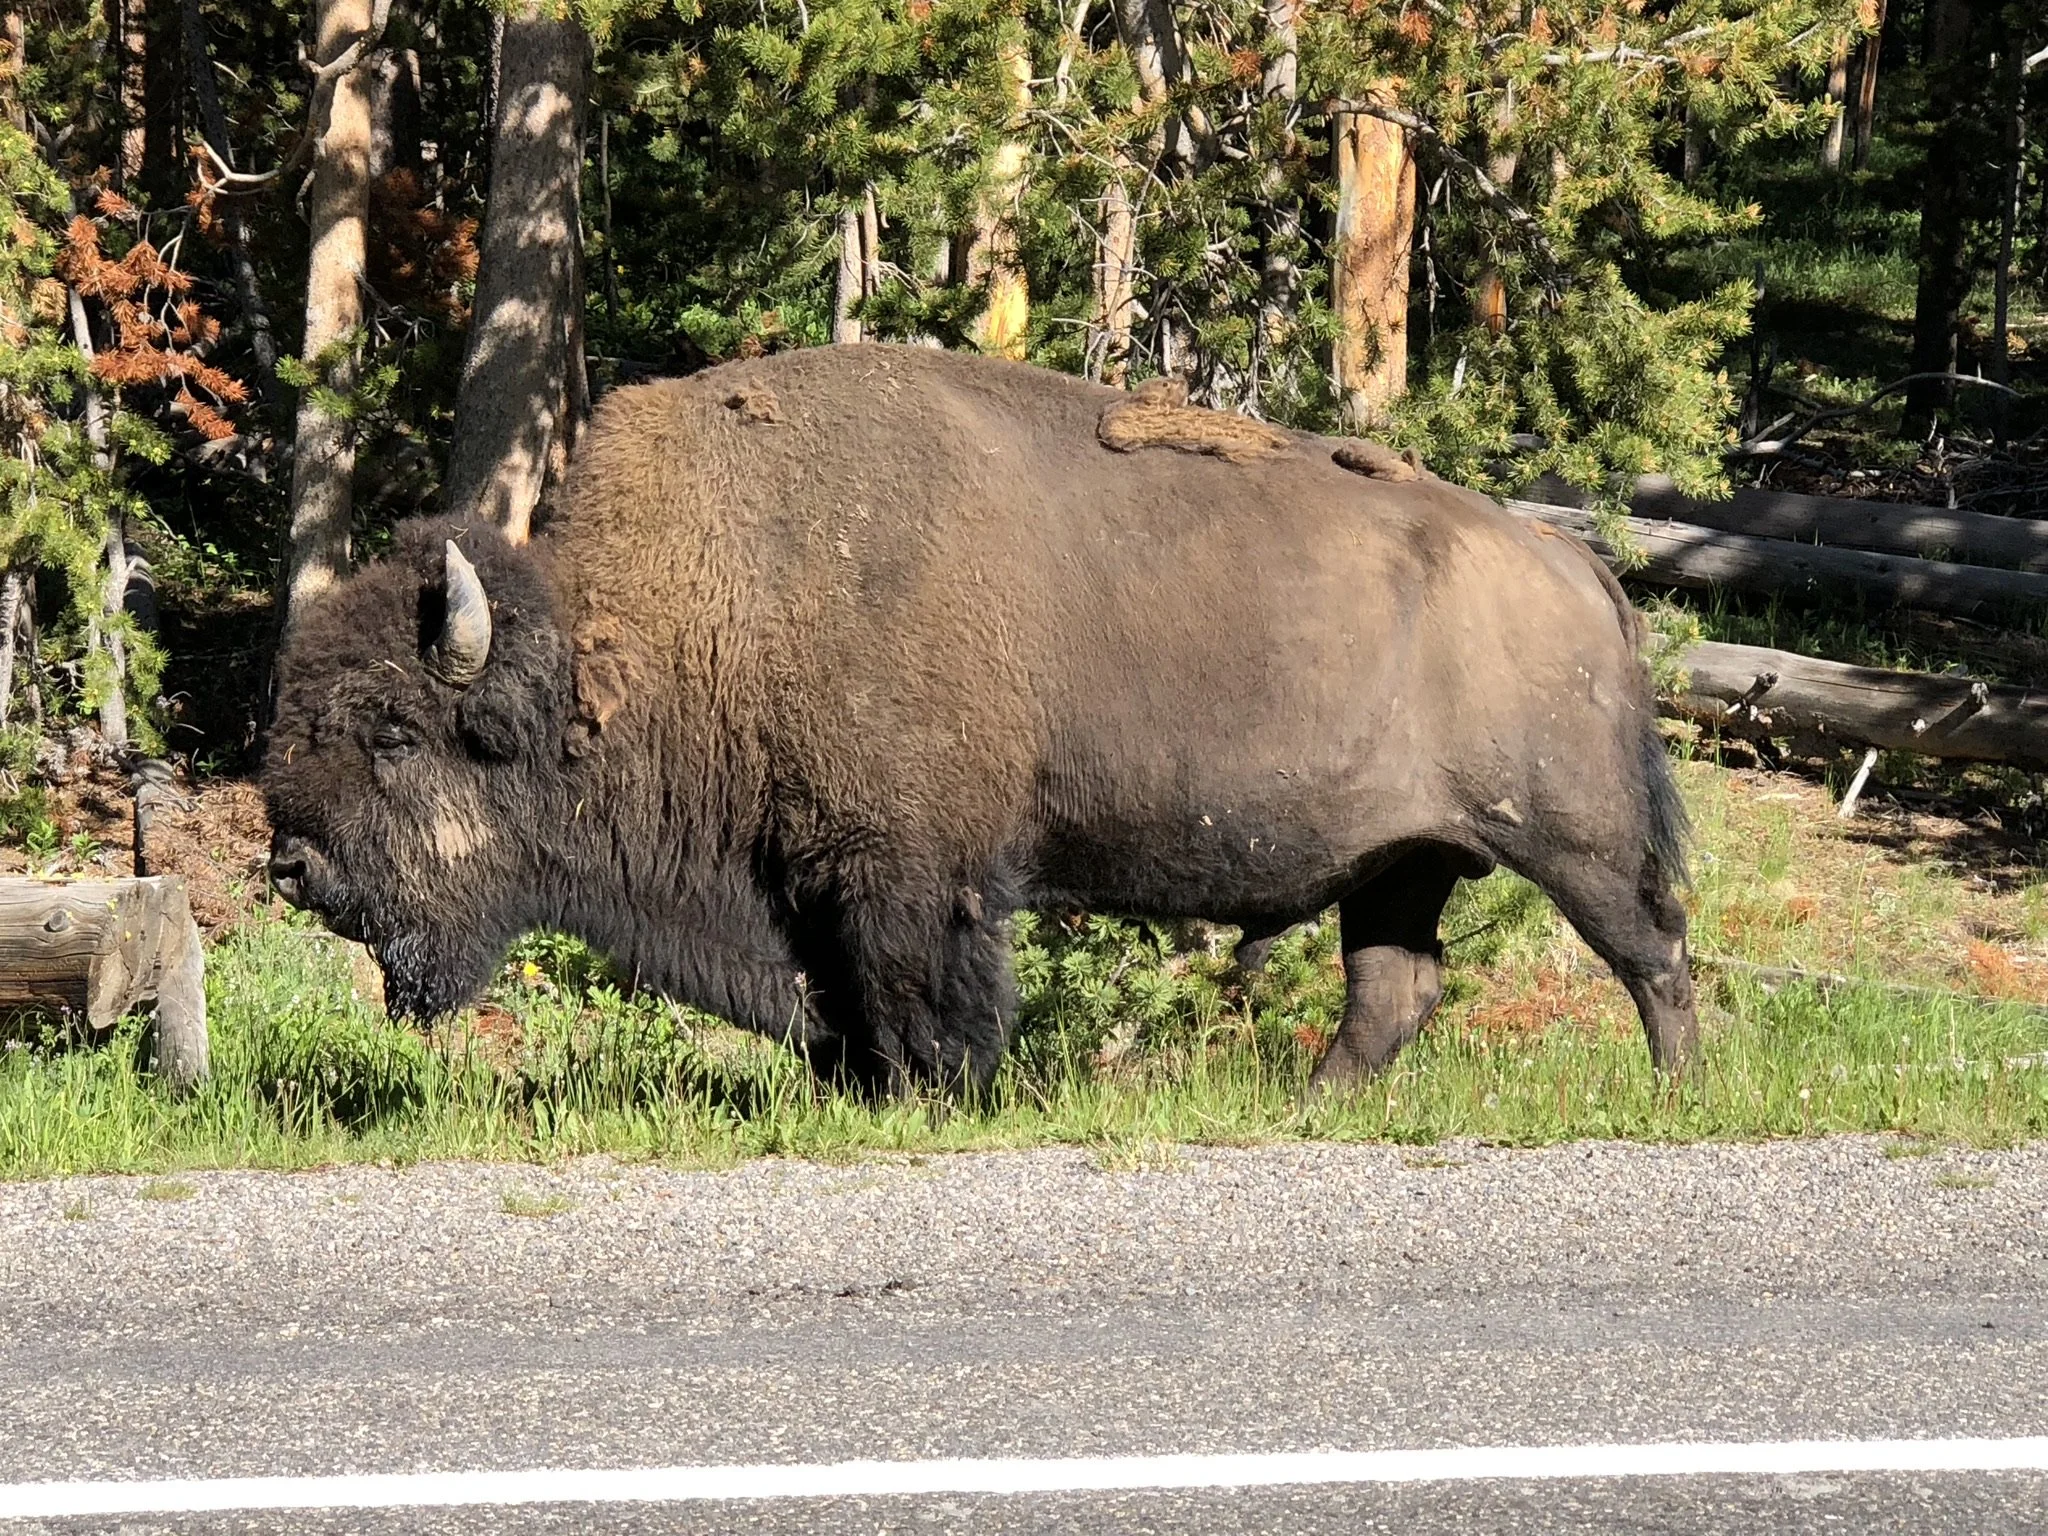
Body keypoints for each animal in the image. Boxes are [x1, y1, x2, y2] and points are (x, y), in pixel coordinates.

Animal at [265, 344, 1695, 1094]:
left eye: (393, 734)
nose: (292, 866)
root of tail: (1573, 566)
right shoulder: (808, 885)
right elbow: (840, 1003)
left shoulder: (908, 876)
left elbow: (920, 997)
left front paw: (935, 1095)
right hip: (1402, 863)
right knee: (1394, 987)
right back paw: (1312, 1104)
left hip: (1570, 842)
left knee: (1652, 950)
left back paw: (1674, 1088)